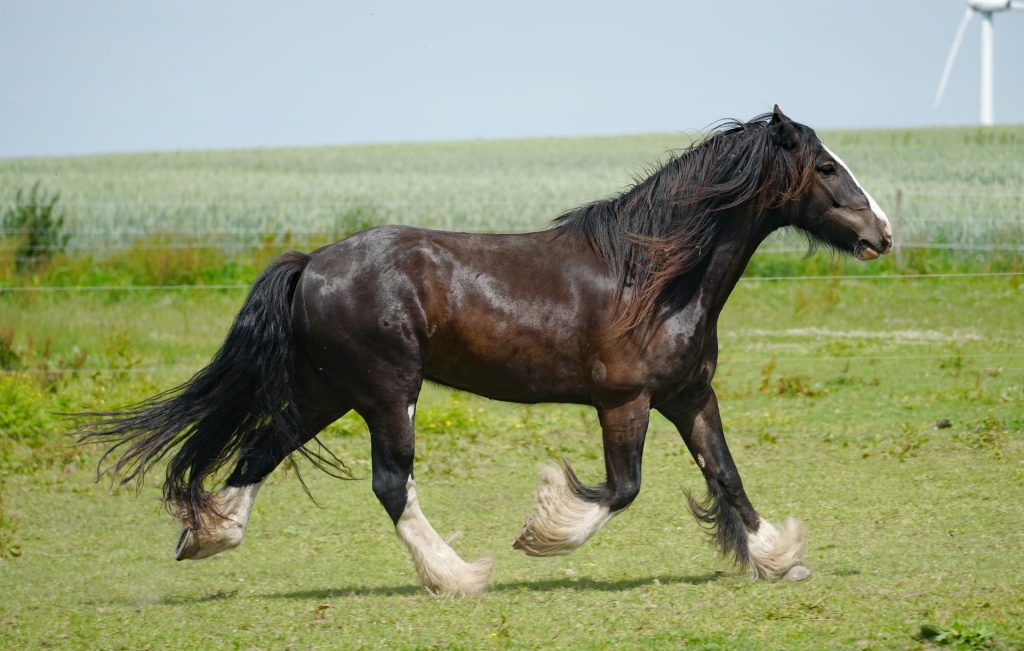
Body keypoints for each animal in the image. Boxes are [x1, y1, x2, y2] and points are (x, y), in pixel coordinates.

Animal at [80, 106, 892, 596]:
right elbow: (622, 488)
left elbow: (725, 474)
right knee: (390, 484)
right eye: (825, 167)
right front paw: (542, 531)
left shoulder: (690, 394)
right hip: (385, 392)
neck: (653, 277)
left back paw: (207, 535)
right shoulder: (623, 400)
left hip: (325, 390)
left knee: (260, 449)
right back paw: (459, 574)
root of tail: (311, 263)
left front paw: (778, 557)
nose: (883, 233)